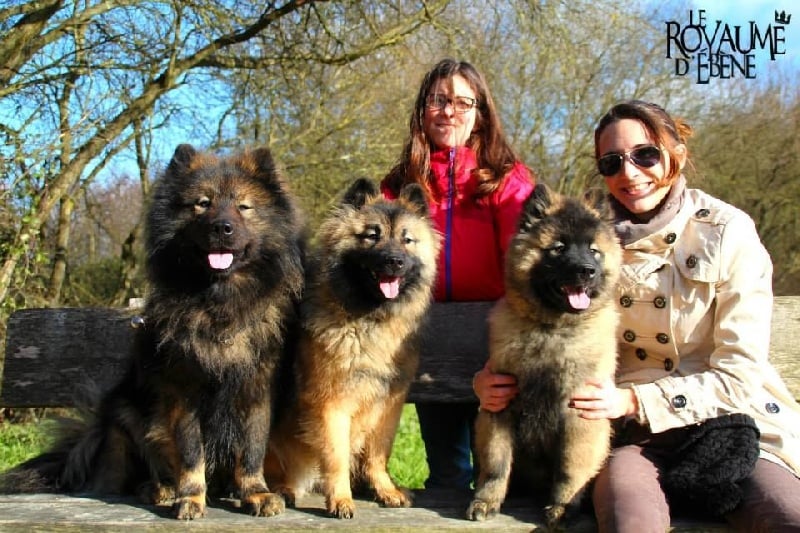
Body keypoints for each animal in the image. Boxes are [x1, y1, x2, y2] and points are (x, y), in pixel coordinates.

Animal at [0, 145, 305, 520]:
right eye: (202, 204)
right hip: (125, 414)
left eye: (244, 207)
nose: (223, 228)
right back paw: (159, 488)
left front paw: (255, 493)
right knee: (133, 475)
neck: (218, 306)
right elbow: (191, 454)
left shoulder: (256, 391)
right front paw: (191, 497)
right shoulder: (184, 391)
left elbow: (251, 451)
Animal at [265, 177, 439, 519]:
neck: (369, 320)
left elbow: (377, 454)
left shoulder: (388, 406)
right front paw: (341, 499)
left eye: (407, 240)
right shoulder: (331, 405)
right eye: (372, 235)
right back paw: (283, 489)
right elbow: (336, 457)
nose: (395, 262)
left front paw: (385, 490)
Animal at [467, 183, 621, 529]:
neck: (551, 331)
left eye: (594, 250)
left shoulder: (580, 414)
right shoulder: (500, 406)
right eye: (558, 249)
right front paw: (486, 500)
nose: (587, 271)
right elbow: (497, 464)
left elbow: (570, 469)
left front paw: (561, 507)